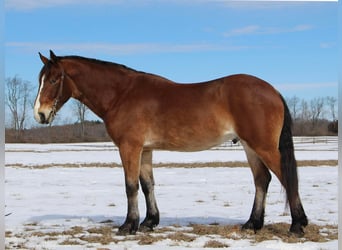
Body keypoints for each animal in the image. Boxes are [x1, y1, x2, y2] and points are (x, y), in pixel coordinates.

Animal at [34, 49, 308, 235]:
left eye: (54, 79)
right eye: (41, 79)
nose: (40, 114)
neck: (122, 95)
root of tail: (272, 90)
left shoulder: (129, 147)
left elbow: (130, 186)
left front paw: (128, 225)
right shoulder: (145, 150)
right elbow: (147, 185)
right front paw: (149, 222)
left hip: (263, 147)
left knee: (285, 178)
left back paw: (297, 224)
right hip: (250, 146)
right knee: (262, 180)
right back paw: (252, 224)